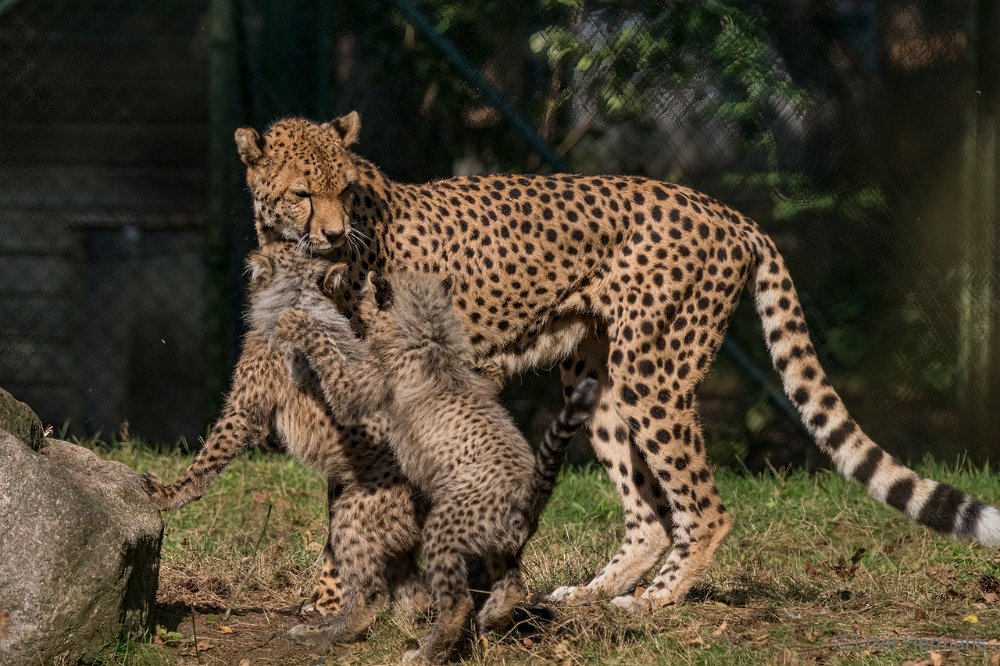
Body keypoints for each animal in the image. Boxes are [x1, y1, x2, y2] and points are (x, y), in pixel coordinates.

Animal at [234, 113, 1000, 608]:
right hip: (595, 380)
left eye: (343, 191)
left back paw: (652, 602)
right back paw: (591, 593)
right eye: (303, 192)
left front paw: (356, 596)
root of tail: (727, 211)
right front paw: (343, 596)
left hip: (652, 374)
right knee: (650, 515)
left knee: (703, 510)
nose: (334, 233)